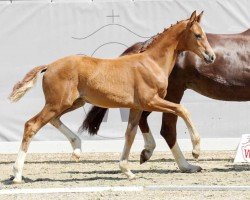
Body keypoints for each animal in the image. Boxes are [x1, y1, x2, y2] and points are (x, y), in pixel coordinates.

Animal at [9, 11, 215, 183]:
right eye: (198, 35)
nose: (211, 56)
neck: (151, 63)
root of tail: (49, 66)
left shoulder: (137, 107)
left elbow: (130, 134)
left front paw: (127, 170)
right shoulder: (150, 101)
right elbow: (182, 109)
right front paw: (196, 150)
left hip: (72, 103)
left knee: (53, 120)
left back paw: (77, 149)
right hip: (57, 103)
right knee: (32, 125)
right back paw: (17, 175)